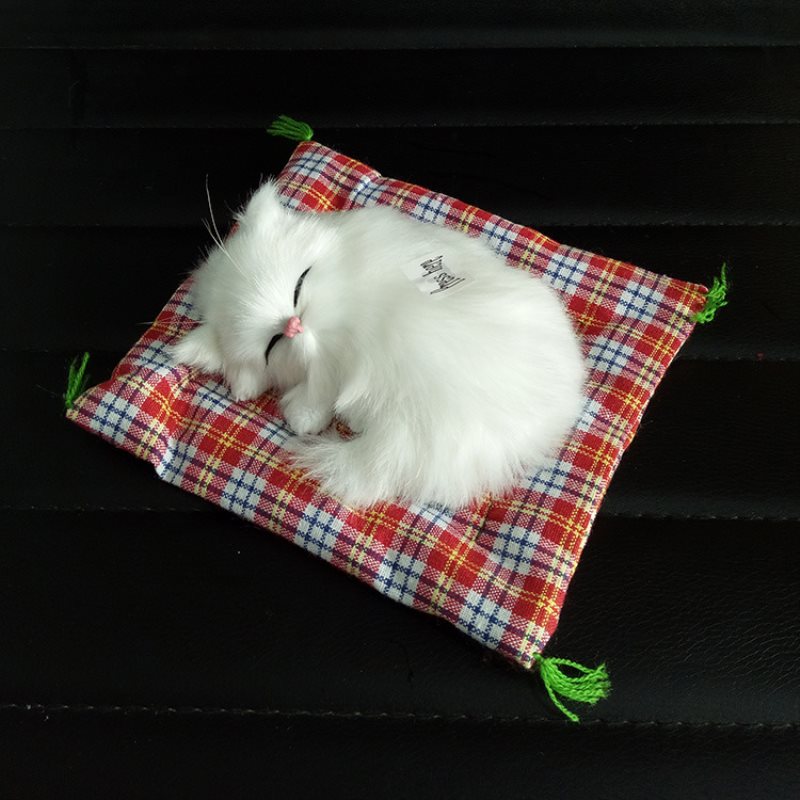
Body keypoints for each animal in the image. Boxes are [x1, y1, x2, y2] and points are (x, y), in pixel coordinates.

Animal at [171, 181, 586, 508]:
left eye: (299, 285)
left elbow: (317, 395)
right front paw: (304, 415)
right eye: (272, 344)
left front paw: (304, 415)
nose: (295, 325)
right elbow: (314, 395)